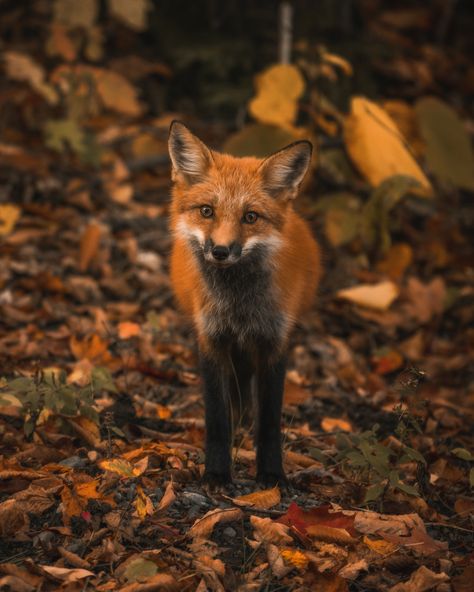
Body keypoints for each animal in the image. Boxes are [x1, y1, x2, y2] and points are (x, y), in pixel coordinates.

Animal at [168, 122, 320, 488]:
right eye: (207, 211)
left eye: (250, 217)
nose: (221, 251)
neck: (239, 307)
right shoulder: (210, 340)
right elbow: (217, 418)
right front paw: (217, 472)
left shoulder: (274, 342)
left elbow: (269, 421)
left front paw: (271, 473)